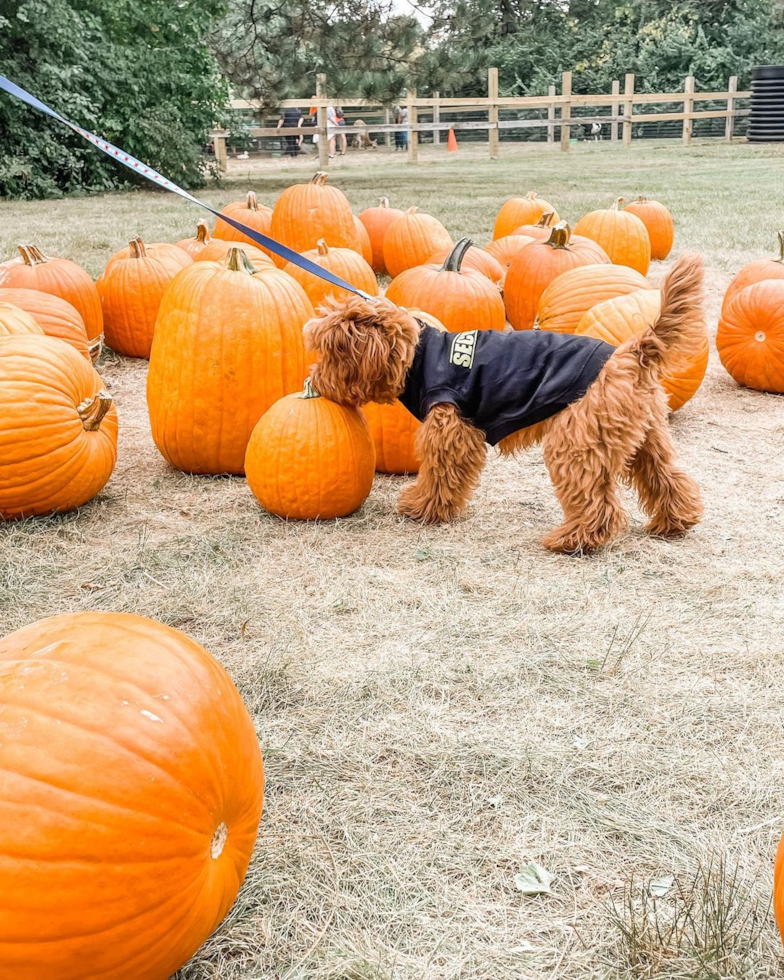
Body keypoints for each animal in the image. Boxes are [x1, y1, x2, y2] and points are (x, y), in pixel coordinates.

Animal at [304, 253, 704, 552]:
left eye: (328, 353)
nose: (313, 381)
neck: (419, 355)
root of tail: (632, 353)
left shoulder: (450, 429)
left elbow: (438, 474)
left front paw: (422, 508)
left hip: (578, 440)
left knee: (598, 501)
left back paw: (573, 540)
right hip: (645, 434)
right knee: (667, 477)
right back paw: (674, 522)